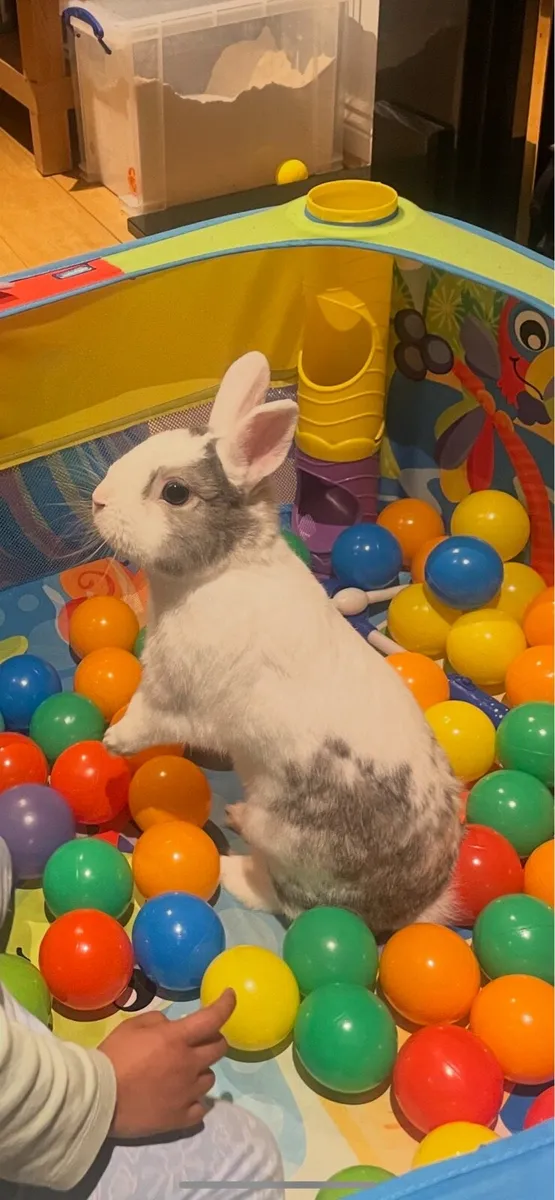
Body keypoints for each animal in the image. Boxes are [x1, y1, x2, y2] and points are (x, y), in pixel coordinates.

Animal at [94, 352, 462, 934]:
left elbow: (148, 719)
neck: (221, 570)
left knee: (288, 902)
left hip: (289, 842)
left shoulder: (174, 694)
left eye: (175, 493)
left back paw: (232, 864)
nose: (98, 500)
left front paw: (113, 740)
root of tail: (412, 907)